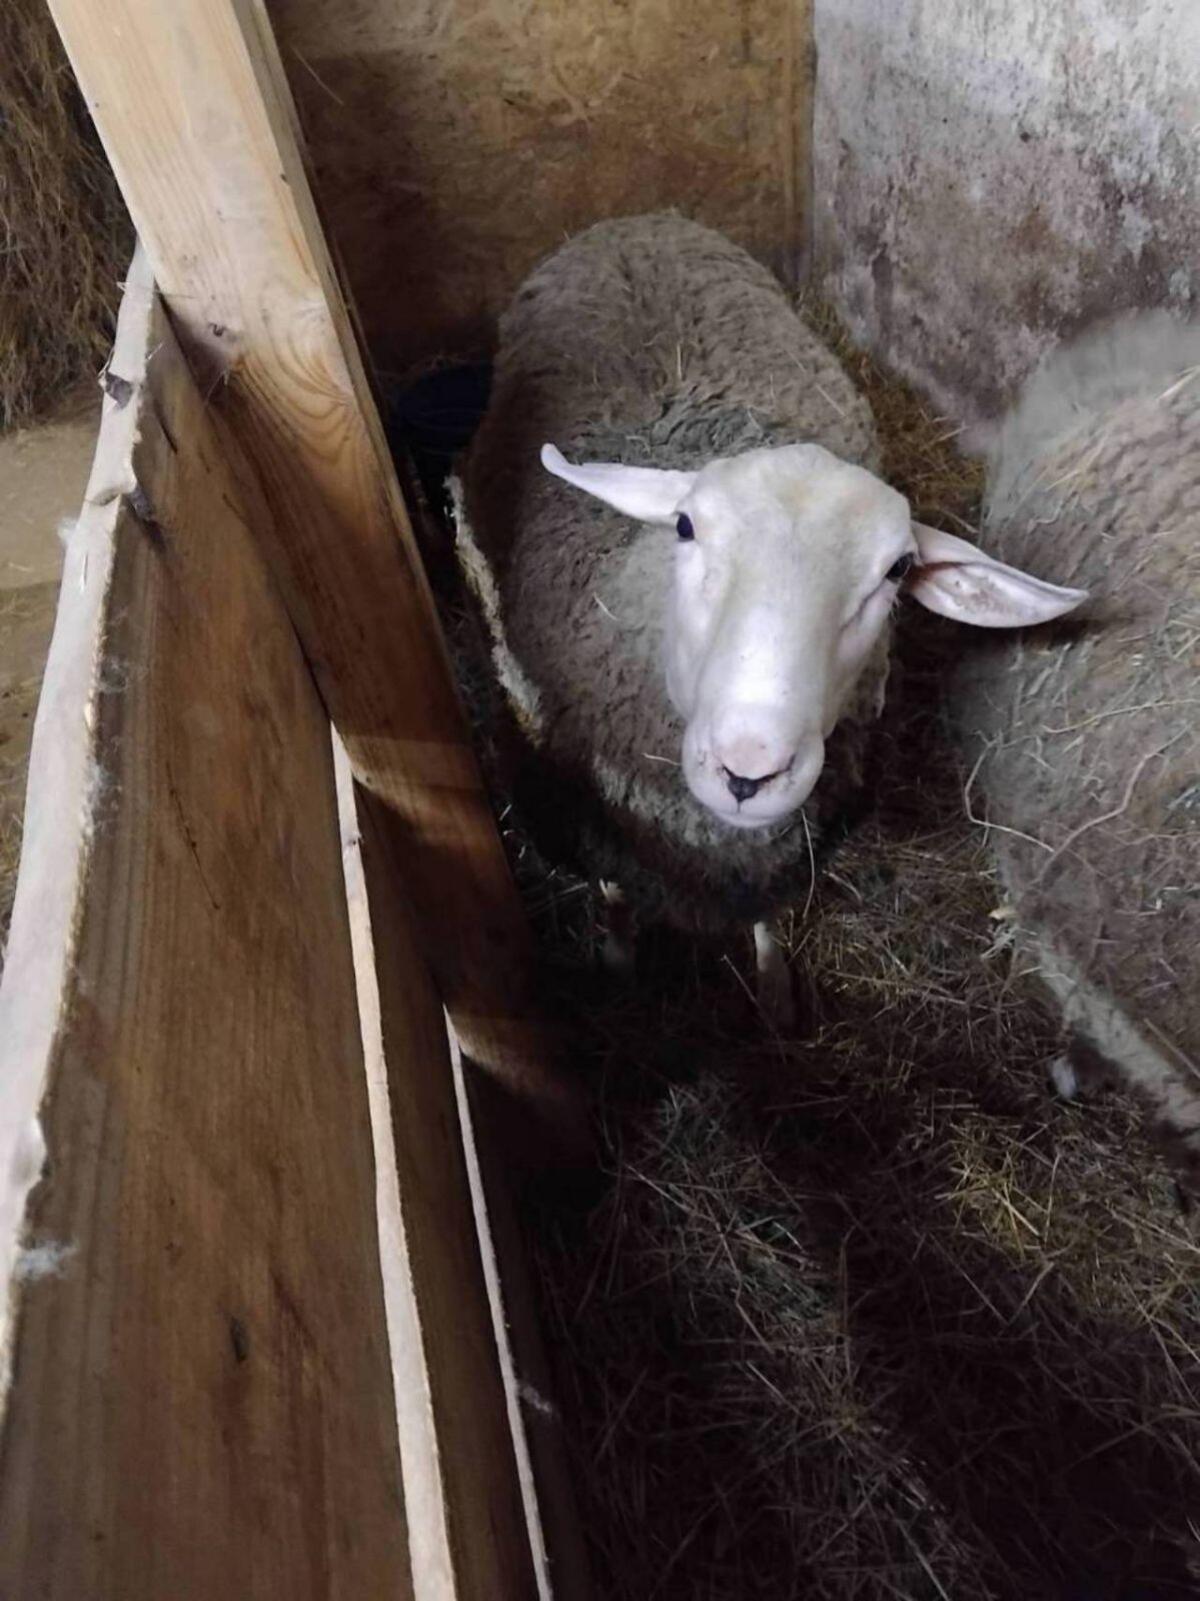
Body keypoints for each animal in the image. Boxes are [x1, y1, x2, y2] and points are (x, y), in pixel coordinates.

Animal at [454, 214, 1085, 1021]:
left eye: (897, 570)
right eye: (685, 526)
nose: (749, 769)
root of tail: (641, 219)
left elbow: (766, 918)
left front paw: (775, 989)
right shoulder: (583, 807)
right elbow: (615, 892)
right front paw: (618, 963)